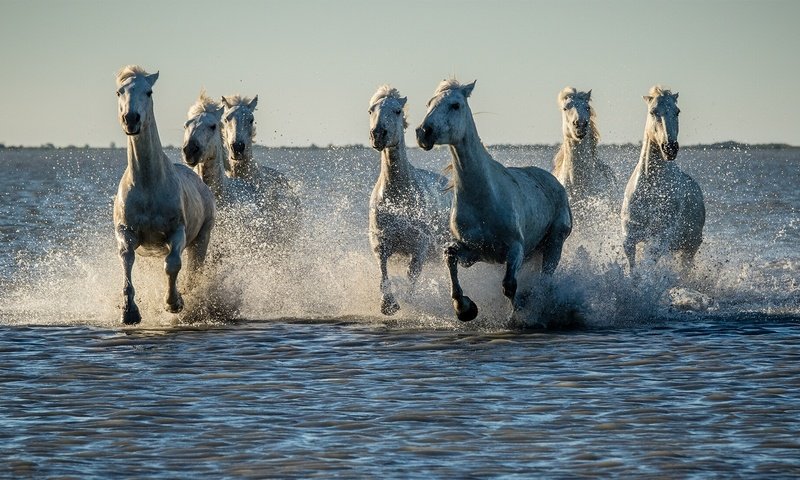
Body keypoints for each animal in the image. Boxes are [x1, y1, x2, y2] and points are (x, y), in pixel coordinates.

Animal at [112, 65, 217, 324]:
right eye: (119, 92)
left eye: (149, 92)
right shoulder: (125, 231)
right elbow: (126, 260)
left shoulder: (176, 232)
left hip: (202, 238)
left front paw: (174, 302)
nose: (131, 119)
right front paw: (129, 312)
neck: (149, 185)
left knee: (193, 270)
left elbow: (172, 265)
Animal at [368, 85, 450, 318]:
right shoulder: (381, 243)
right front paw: (388, 304)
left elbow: (412, 275)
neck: (398, 198)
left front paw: (408, 303)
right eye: (371, 110)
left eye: (397, 111)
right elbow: (383, 272)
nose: (378, 134)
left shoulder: (419, 247)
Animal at [416, 79, 572, 322]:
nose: (424, 132)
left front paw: (517, 315)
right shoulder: (474, 252)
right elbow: (450, 256)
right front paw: (465, 308)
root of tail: (555, 182)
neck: (484, 200)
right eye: (429, 103)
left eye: (455, 105)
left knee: (544, 280)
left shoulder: (515, 248)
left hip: (554, 243)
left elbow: (509, 285)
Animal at [620, 86, 708, 272]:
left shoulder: (660, 237)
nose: (670, 148)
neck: (651, 189)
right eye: (653, 111)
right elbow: (633, 267)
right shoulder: (630, 236)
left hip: (690, 247)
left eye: (677, 111)